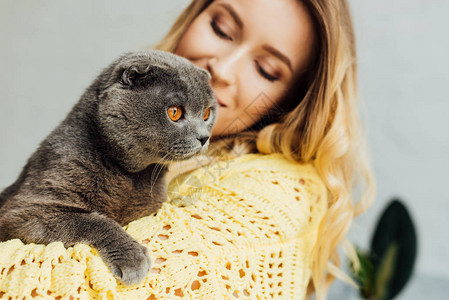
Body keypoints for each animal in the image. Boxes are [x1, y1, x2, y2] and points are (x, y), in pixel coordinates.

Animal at [0, 50, 217, 284]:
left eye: (207, 113)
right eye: (174, 112)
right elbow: (94, 220)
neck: (129, 174)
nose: (204, 137)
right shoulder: (25, 210)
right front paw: (133, 259)